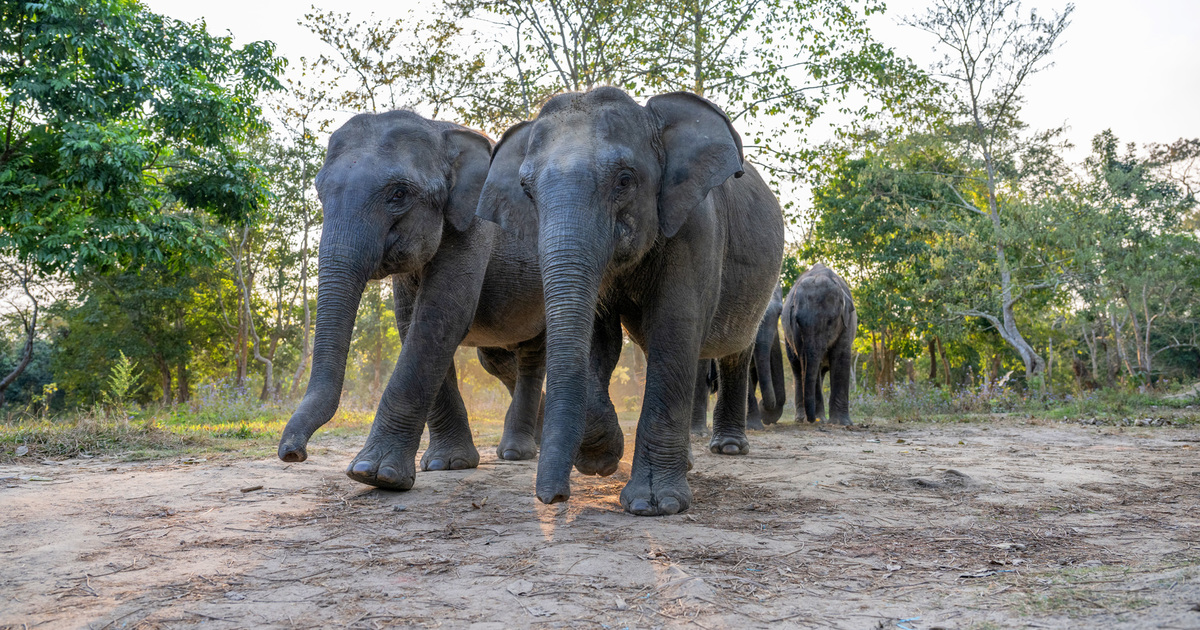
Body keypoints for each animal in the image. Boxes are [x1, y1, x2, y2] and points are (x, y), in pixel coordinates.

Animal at [276, 110, 556, 491]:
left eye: (399, 193)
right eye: (320, 194)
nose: (293, 453)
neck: (440, 130)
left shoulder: (473, 228)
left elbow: (439, 317)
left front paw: (375, 474)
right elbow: (409, 320)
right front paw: (446, 464)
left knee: (531, 356)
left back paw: (517, 452)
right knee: (495, 361)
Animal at [477, 87, 785, 516]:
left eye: (625, 181)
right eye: (526, 191)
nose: (553, 498)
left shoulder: (696, 226)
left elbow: (673, 329)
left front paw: (654, 504)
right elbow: (599, 339)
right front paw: (600, 460)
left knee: (734, 352)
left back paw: (728, 448)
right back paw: (689, 462)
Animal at [782, 263, 856, 425]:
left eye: (830, 322)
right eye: (797, 321)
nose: (812, 420)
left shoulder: (847, 324)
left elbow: (841, 357)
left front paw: (842, 423)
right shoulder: (796, 333)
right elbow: (807, 363)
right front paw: (820, 420)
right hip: (787, 341)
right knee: (798, 370)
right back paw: (802, 418)